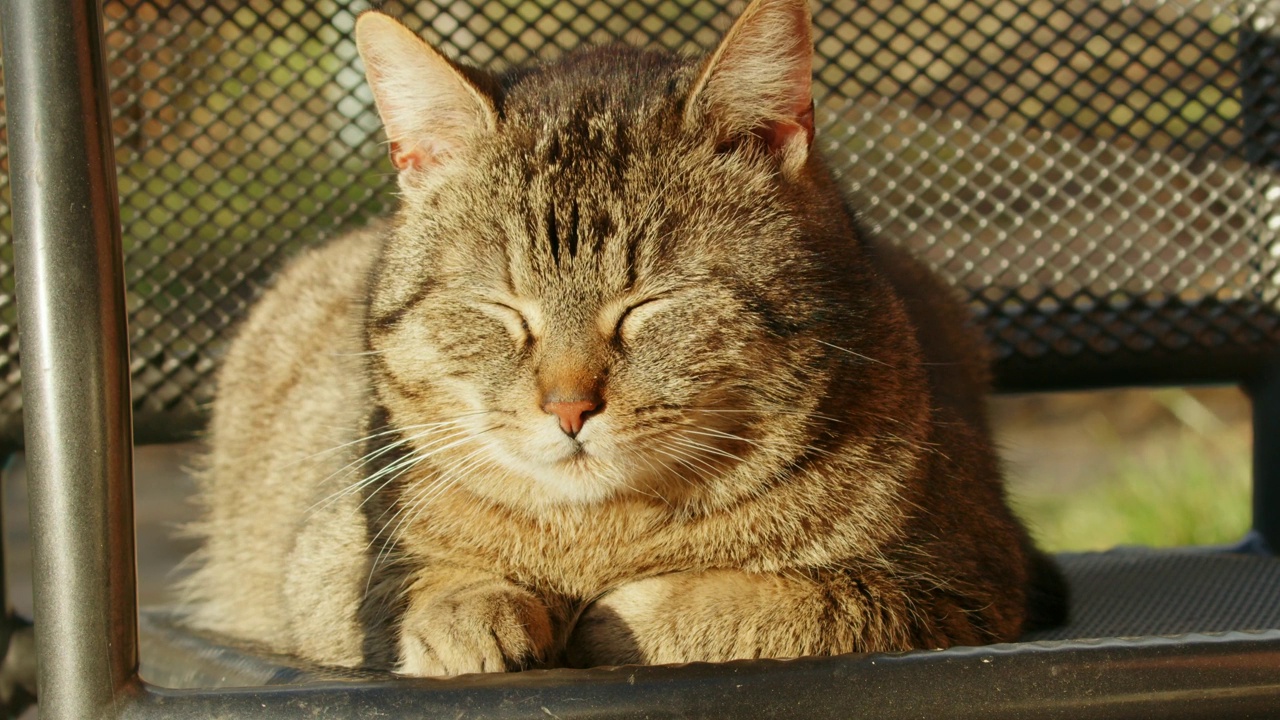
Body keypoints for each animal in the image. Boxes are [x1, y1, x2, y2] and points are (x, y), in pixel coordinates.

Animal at [175, 0, 1064, 676]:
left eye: (647, 306)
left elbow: (767, 605)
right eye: (503, 309)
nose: (568, 408)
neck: (599, 534)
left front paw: (616, 615)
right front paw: (470, 611)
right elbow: (419, 584)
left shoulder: (970, 581)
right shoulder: (325, 565)